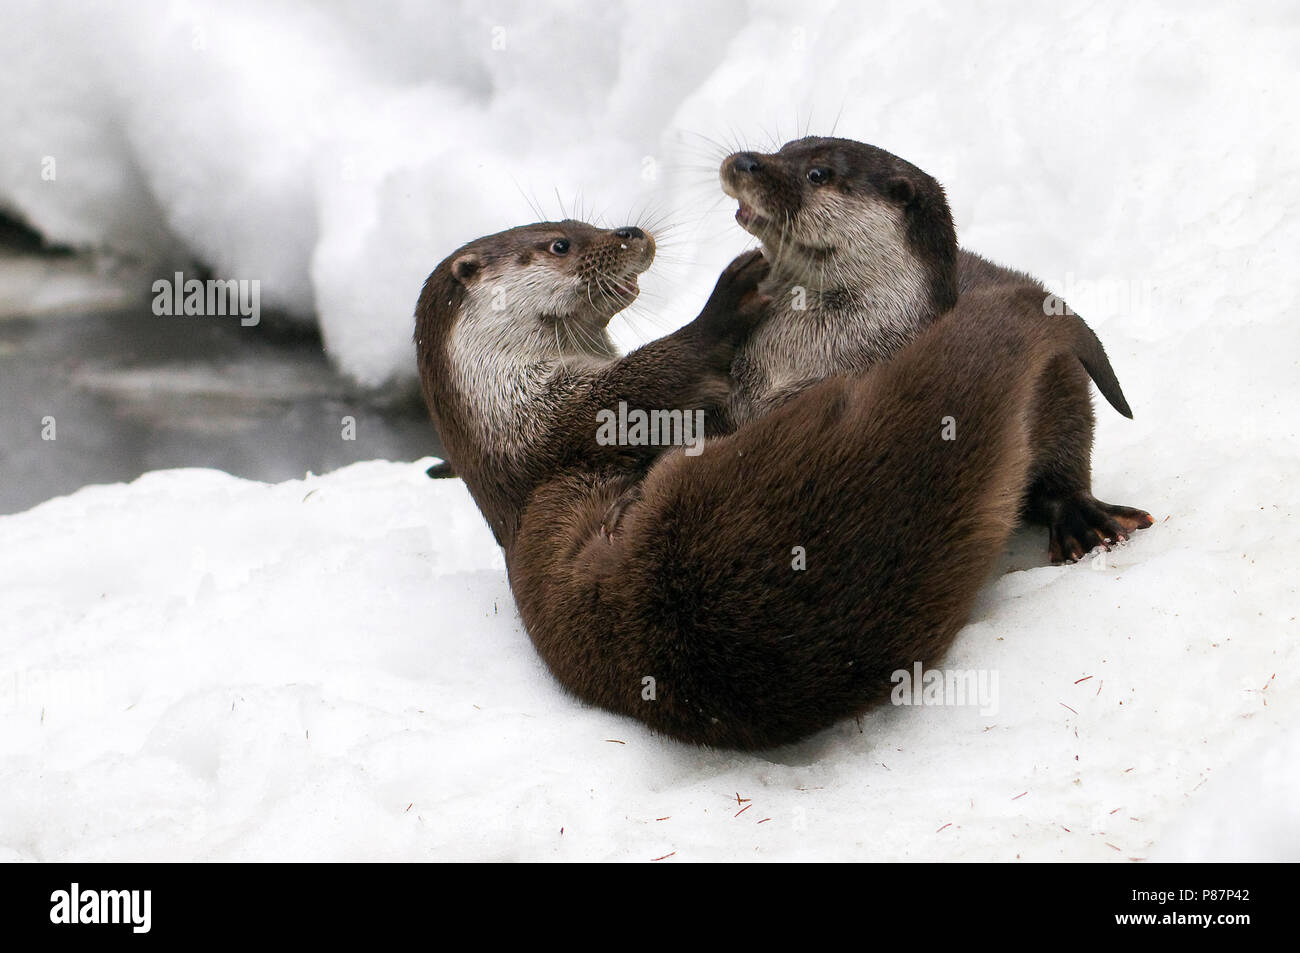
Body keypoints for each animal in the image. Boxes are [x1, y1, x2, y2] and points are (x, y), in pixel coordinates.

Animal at [418, 217, 1149, 748]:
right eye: (561, 244)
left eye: (576, 222)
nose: (631, 233)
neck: (513, 432)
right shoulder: (564, 421)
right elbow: (651, 379)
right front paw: (723, 305)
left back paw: (1084, 517)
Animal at [722, 137, 1159, 561]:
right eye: (783, 149)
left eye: (818, 173)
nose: (743, 162)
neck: (794, 365)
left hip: (1064, 379)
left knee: (1067, 459)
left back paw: (1084, 524)